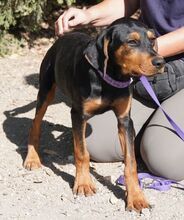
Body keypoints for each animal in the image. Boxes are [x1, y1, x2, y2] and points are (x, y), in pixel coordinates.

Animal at [23, 18, 165, 212]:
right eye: (132, 42)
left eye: (152, 40)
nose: (161, 62)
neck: (110, 78)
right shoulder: (78, 115)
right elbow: (82, 153)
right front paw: (83, 184)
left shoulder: (125, 120)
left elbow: (131, 162)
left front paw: (136, 197)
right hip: (46, 90)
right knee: (35, 124)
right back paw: (32, 158)